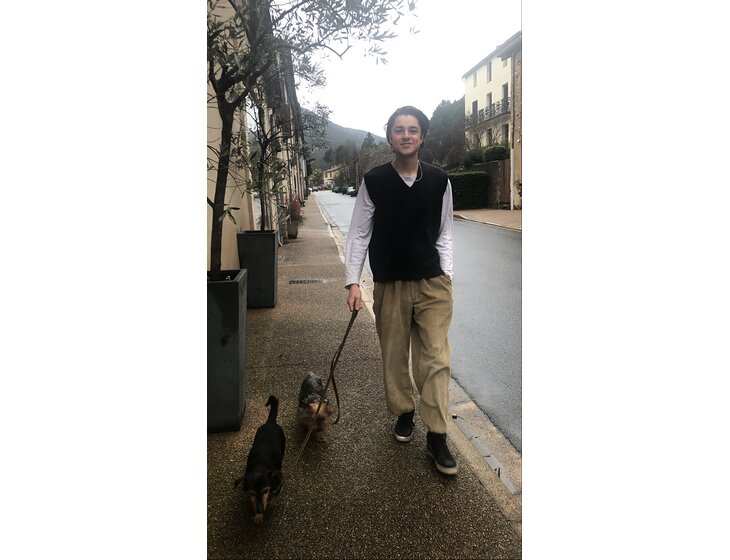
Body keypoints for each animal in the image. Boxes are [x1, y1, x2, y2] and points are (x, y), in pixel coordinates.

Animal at [234, 395, 286, 525]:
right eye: (252, 493)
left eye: (265, 491)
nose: (261, 510)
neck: (259, 466)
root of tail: (271, 422)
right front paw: (258, 516)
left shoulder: (279, 483)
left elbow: (273, 497)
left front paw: (270, 504)